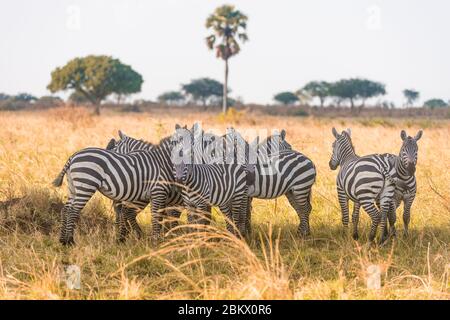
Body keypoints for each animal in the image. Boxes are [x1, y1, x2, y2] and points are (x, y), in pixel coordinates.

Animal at [55, 135, 183, 245]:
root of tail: (73, 156)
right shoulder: (158, 193)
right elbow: (160, 217)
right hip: (86, 185)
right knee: (73, 211)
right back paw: (70, 241)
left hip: (73, 187)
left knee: (65, 209)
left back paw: (63, 240)